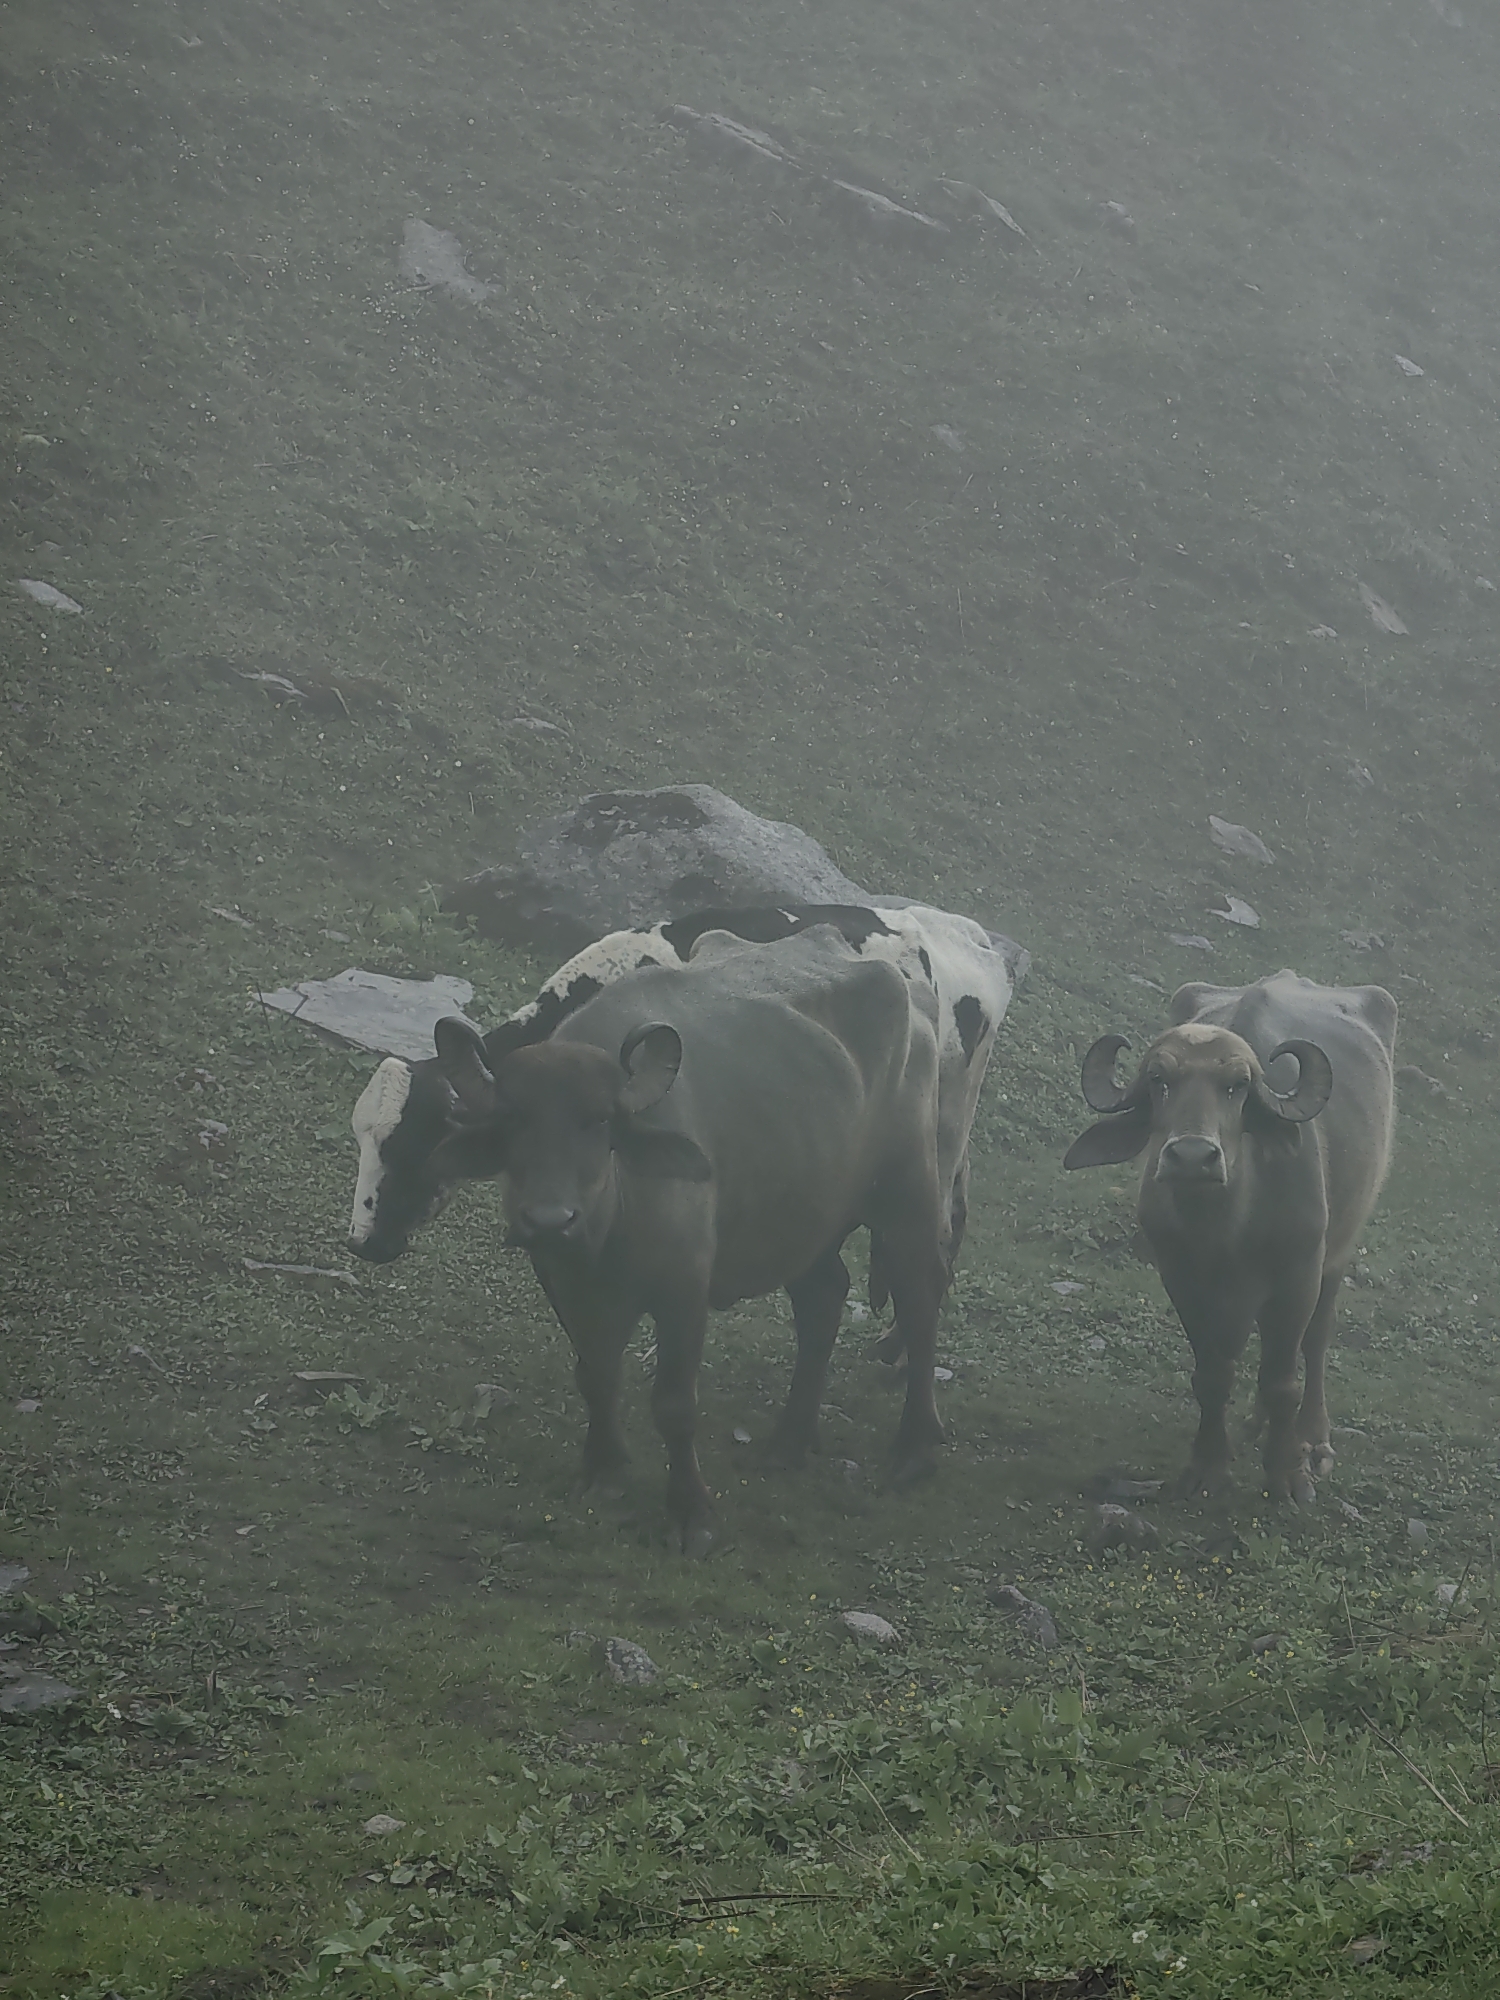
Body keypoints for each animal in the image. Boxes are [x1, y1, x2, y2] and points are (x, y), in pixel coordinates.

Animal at [1064, 971, 1397, 1503]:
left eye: (1237, 1087)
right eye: (1159, 1082)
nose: (1191, 1157)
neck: (1225, 1228)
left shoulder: (1298, 1274)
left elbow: (1283, 1380)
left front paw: (1288, 1474)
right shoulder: (1181, 1278)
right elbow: (1213, 1375)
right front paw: (1208, 1467)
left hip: (1337, 1251)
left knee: (1315, 1342)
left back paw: (1312, 1438)